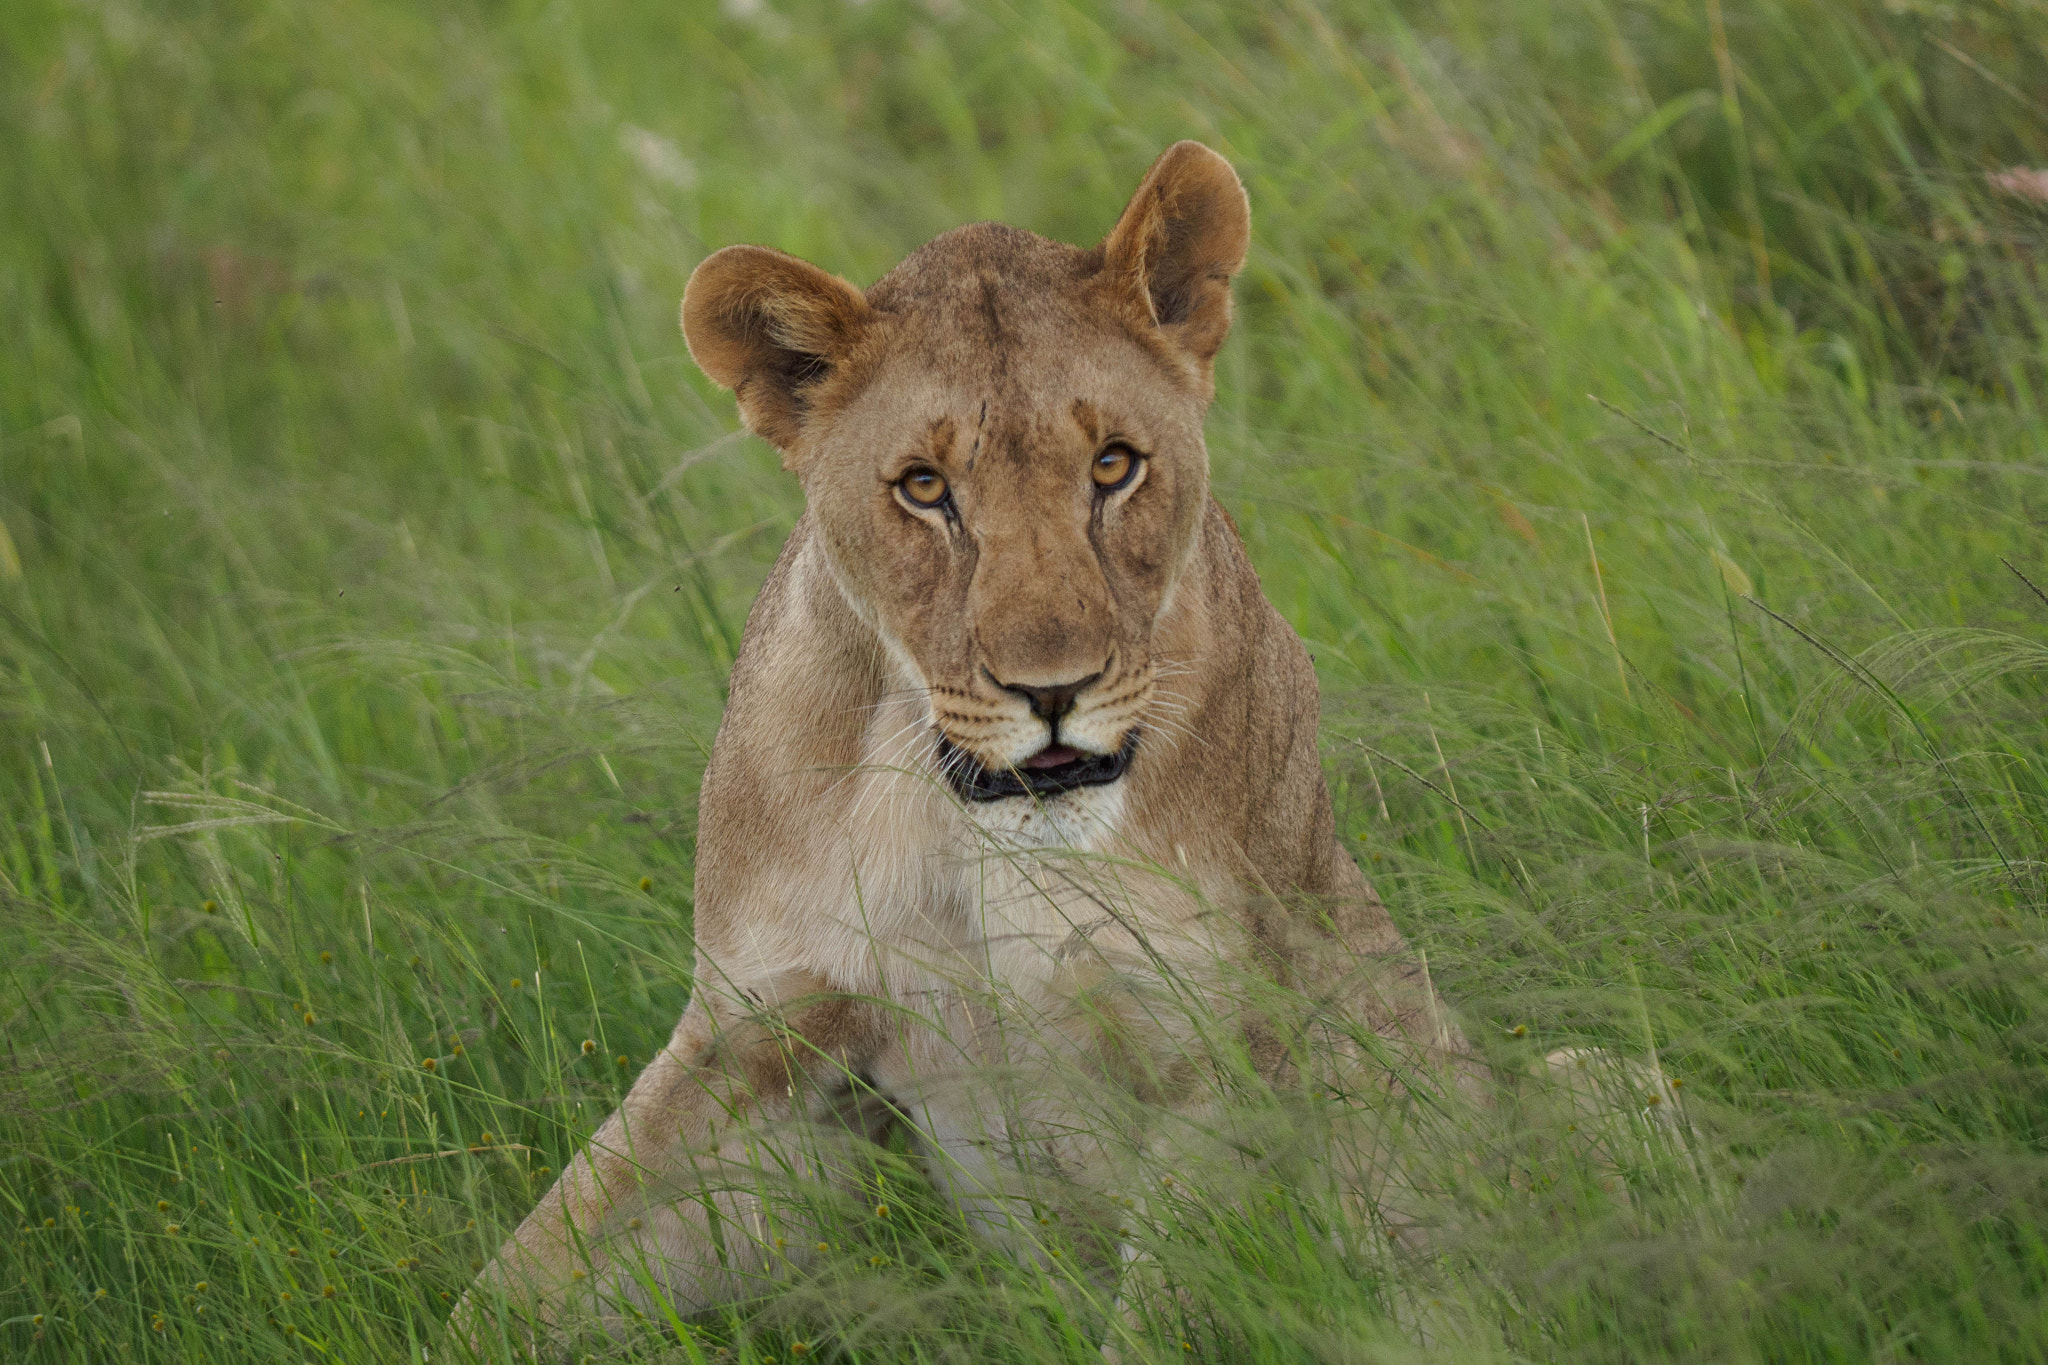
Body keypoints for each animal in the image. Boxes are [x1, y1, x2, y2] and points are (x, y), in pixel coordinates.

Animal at [452, 141, 1483, 1350]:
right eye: (923, 487)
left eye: (1113, 466)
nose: (1053, 690)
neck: (959, 828)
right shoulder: (761, 1029)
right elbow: (524, 1276)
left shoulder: (1223, 1051)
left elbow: (1159, 1314)